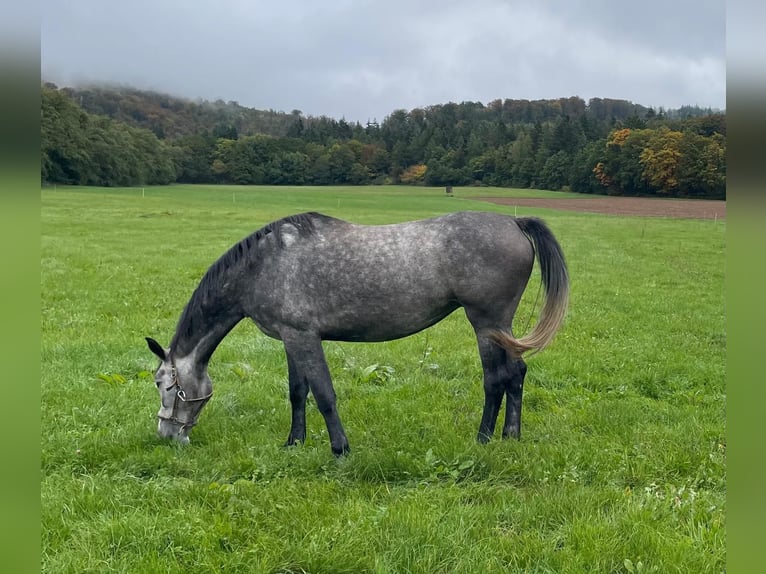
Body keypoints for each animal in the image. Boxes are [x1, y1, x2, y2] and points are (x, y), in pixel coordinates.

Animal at [146, 210, 569, 455]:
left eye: (164, 384)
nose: (167, 435)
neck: (264, 264)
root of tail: (514, 222)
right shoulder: (291, 338)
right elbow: (297, 393)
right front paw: (294, 442)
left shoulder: (304, 337)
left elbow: (324, 395)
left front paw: (340, 449)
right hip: (502, 328)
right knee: (516, 374)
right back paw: (510, 437)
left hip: (487, 323)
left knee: (496, 379)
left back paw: (482, 439)